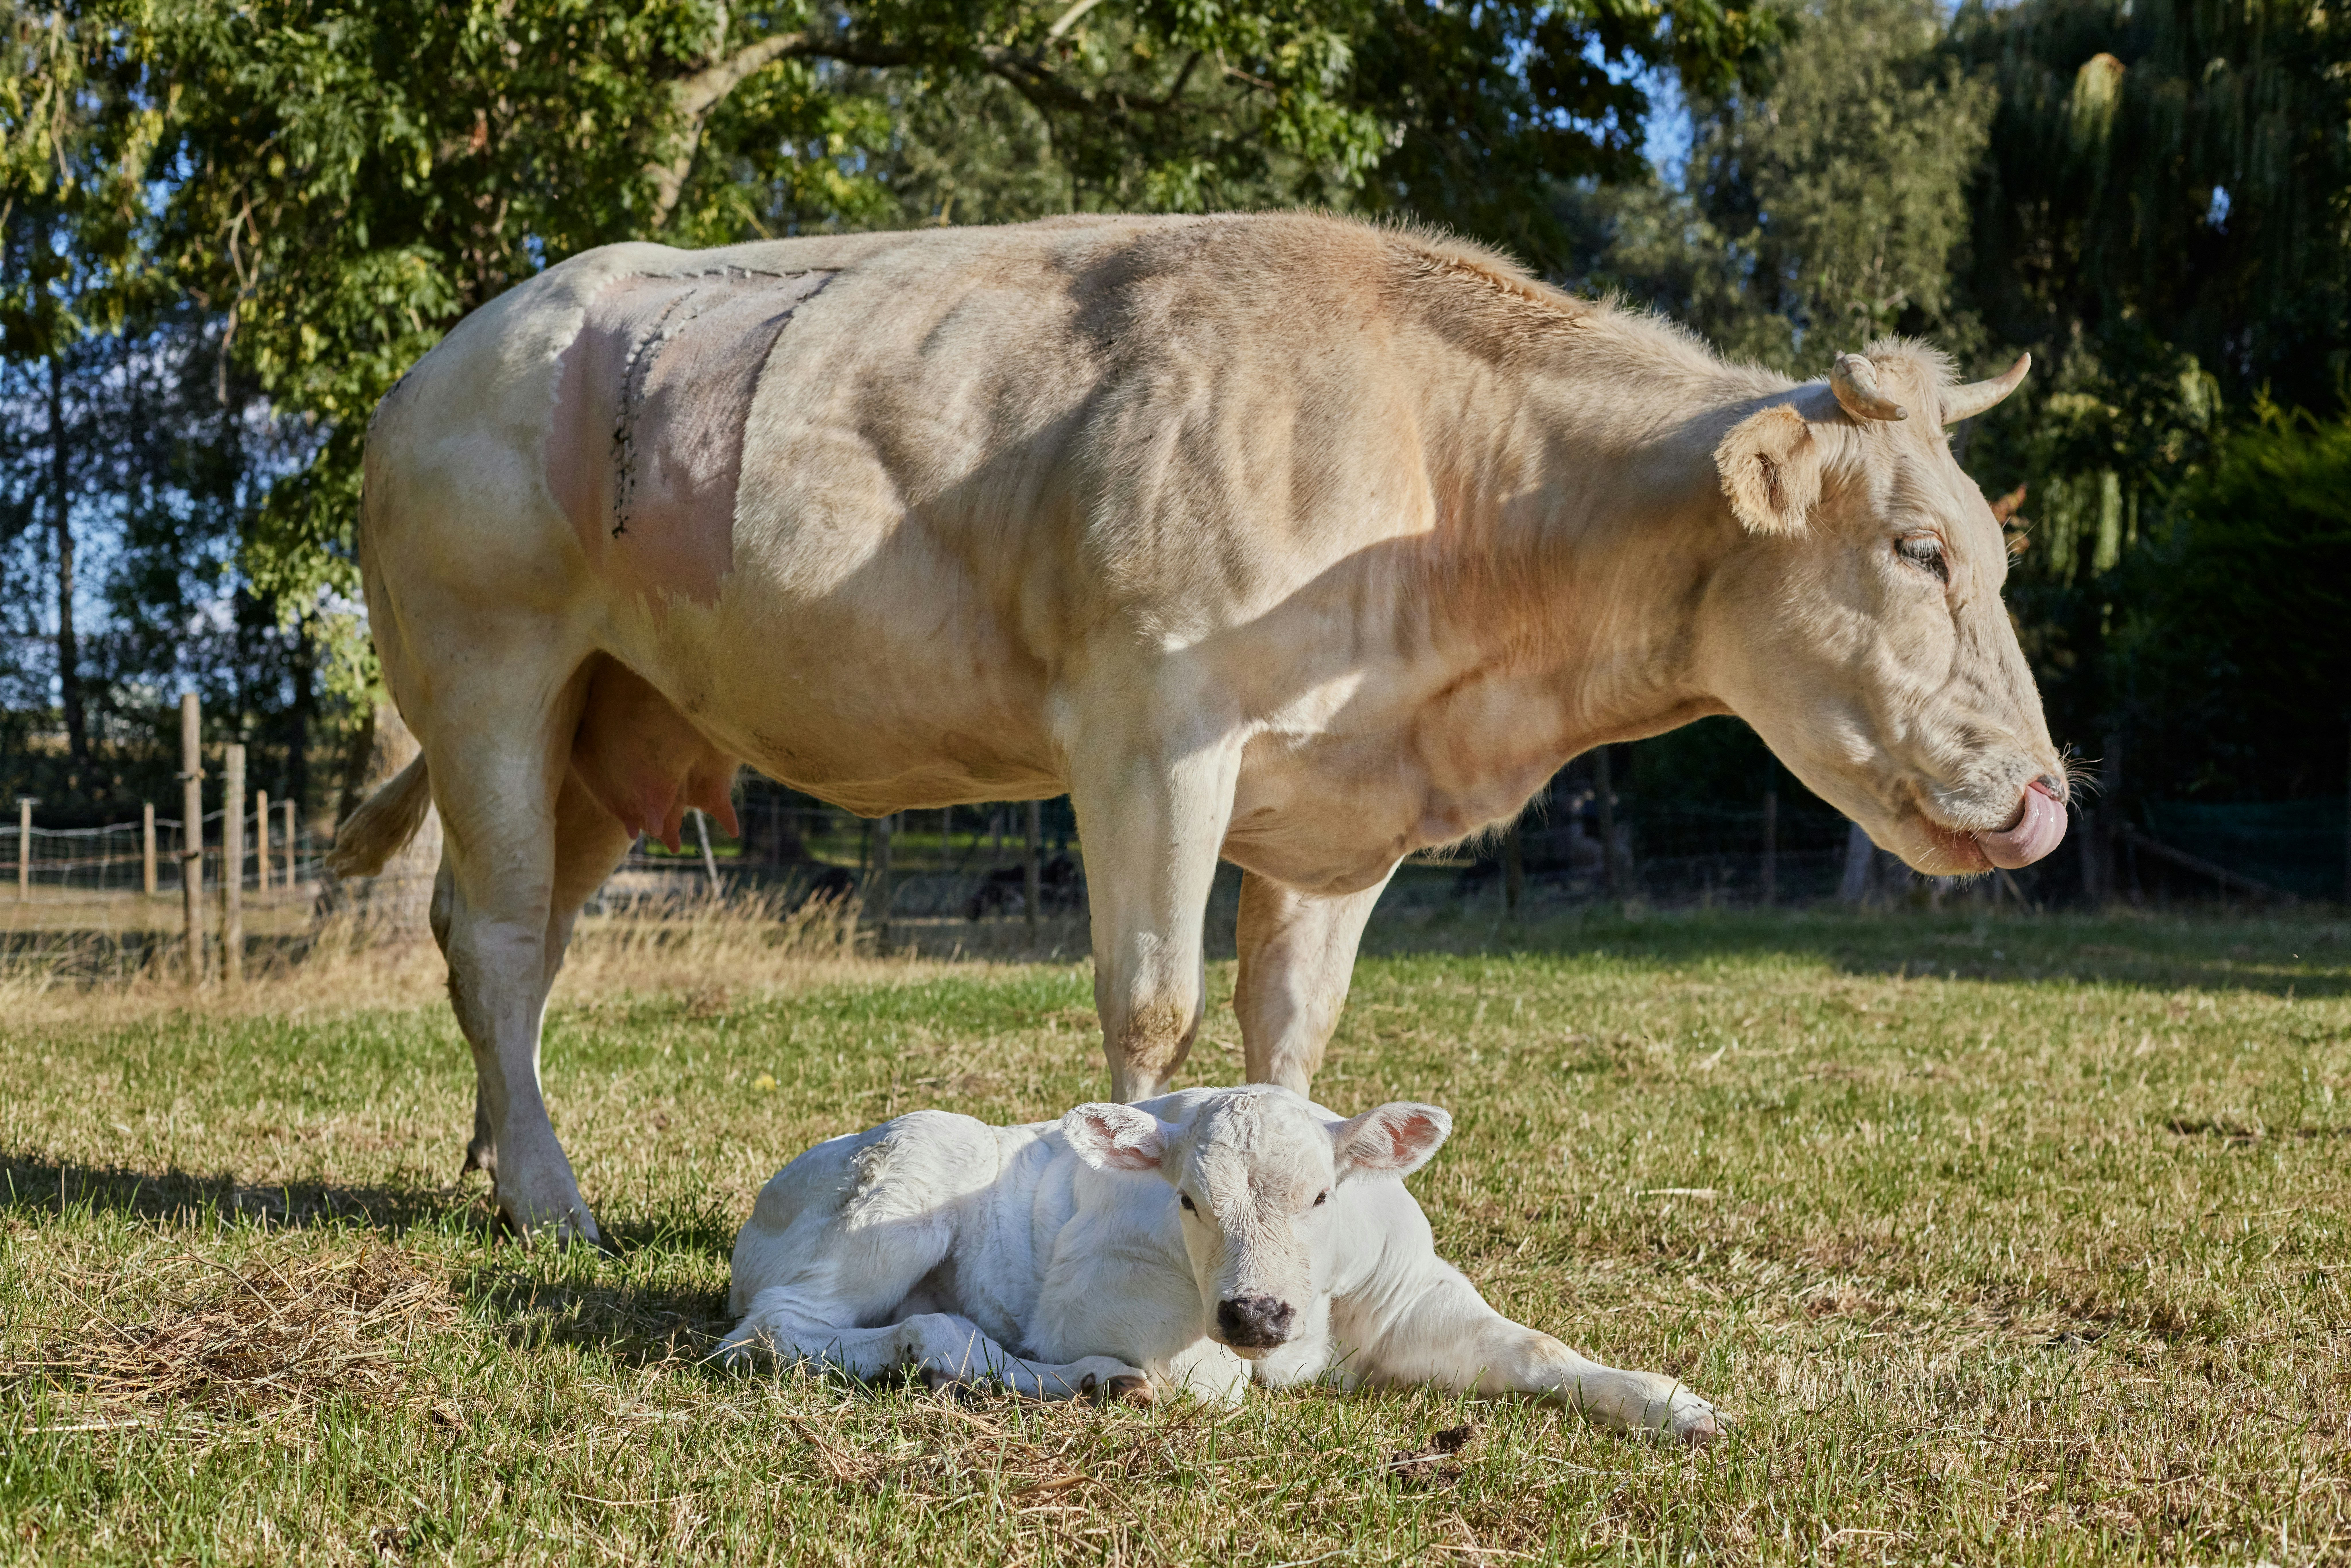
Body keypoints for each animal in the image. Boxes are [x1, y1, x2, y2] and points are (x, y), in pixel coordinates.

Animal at [328, 211, 2068, 1243]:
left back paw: (498, 1154)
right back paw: (551, 1198)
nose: (2050, 800)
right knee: (498, 936)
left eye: (1994, 553)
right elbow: (1154, 1007)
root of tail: (448, 357)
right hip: (490, 667)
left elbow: (1290, 1031)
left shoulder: (1339, 806)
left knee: (510, 936)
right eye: (1918, 548)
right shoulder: (1153, 726)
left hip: (610, 721)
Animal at [722, 1085, 1721, 1443]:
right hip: (903, 1189)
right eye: (1188, 1201)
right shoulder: (1093, 1299)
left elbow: (1538, 1349)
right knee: (775, 1331)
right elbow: (1210, 1383)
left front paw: (1675, 1405)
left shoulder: (1411, 1299)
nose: (1255, 1315)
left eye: (1321, 1197)